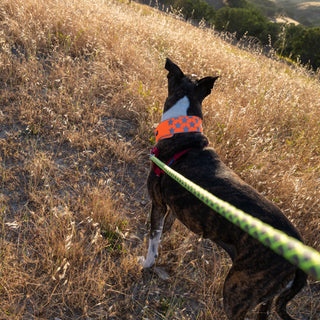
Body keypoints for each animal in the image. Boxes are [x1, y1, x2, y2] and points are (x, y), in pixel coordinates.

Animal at [141, 58, 306, 320]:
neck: (183, 132)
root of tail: (299, 259)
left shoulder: (158, 203)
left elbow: (153, 240)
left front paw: (147, 264)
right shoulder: (174, 208)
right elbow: (166, 229)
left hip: (236, 290)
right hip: (265, 298)